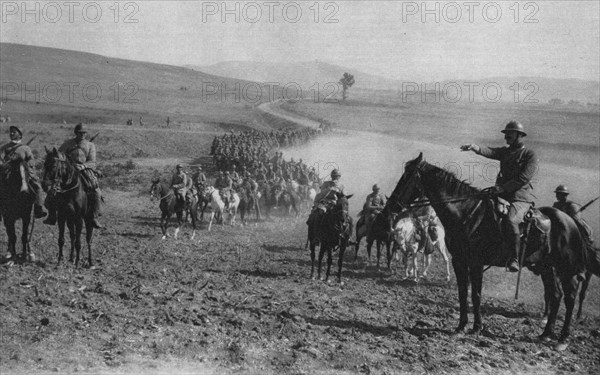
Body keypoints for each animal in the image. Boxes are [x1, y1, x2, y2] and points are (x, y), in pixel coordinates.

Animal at [386, 153, 592, 352]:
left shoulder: (476, 263)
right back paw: (546, 334)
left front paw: (476, 327)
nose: (391, 206)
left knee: (570, 297)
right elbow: (463, 293)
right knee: (555, 295)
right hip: (546, 267)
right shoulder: (459, 261)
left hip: (565, 269)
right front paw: (461, 327)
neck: (467, 213)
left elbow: (476, 295)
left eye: (408, 177)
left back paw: (562, 339)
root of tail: (571, 221)